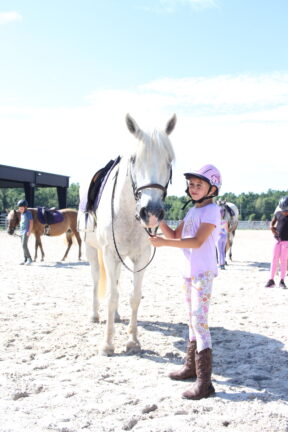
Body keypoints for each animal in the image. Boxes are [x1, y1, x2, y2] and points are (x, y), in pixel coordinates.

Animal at [77, 113, 176, 356]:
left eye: (169, 160)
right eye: (133, 159)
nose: (151, 212)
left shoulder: (141, 257)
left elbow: (134, 297)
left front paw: (132, 341)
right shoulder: (109, 254)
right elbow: (112, 296)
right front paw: (108, 344)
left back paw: (116, 317)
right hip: (92, 251)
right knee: (97, 281)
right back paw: (95, 315)